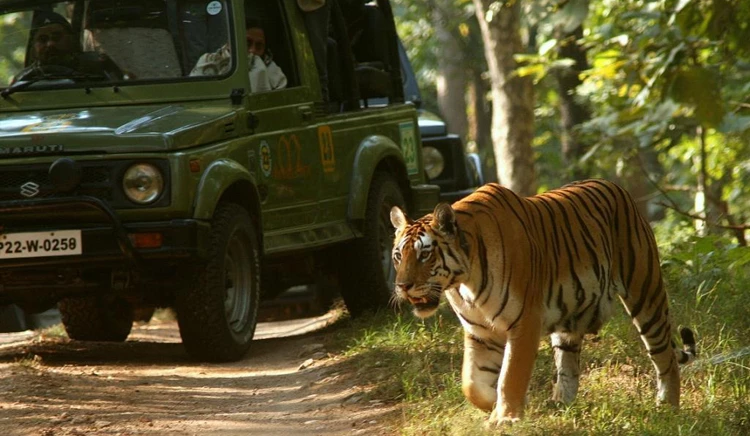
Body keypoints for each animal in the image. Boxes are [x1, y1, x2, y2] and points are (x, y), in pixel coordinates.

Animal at [389, 179, 697, 425]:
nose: (403, 286)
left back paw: (667, 407)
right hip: (570, 321)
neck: (464, 282)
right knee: (568, 366)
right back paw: (561, 406)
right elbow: (471, 383)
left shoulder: (523, 322)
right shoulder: (479, 332)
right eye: (398, 256)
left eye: (424, 255)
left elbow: (510, 375)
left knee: (666, 358)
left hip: (645, 293)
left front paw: (506, 418)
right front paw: (495, 408)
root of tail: (618, 188)